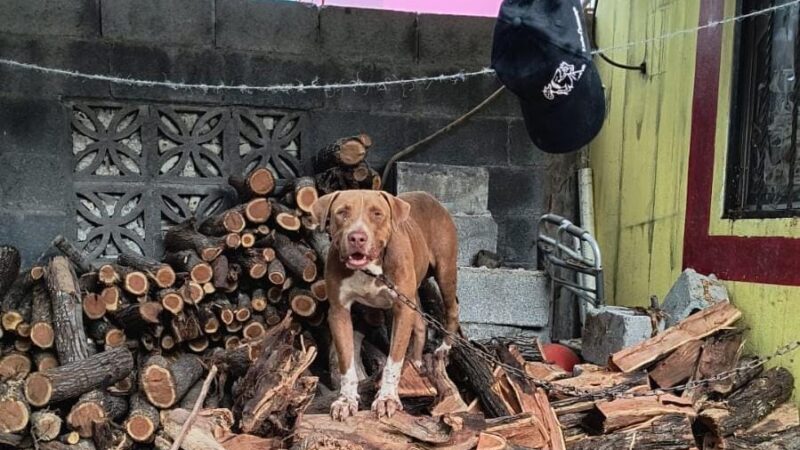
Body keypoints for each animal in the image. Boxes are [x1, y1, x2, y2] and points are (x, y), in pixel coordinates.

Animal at [314, 191, 462, 422]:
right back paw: (415, 363)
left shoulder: (401, 308)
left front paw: (387, 399)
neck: (370, 270)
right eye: (342, 212)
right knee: (420, 325)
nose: (357, 237)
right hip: (413, 294)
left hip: (445, 271)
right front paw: (346, 401)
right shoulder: (339, 312)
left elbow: (393, 361)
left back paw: (443, 349)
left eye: (377, 213)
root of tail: (428, 195)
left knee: (452, 309)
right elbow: (347, 363)